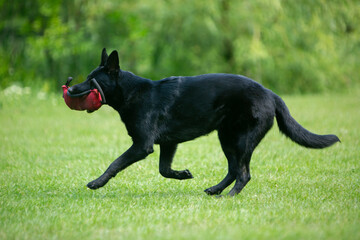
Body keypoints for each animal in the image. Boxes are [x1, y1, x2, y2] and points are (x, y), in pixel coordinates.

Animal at [68, 49, 340, 197]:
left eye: (92, 80)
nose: (70, 89)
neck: (132, 93)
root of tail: (271, 94)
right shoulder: (168, 143)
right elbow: (164, 169)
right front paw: (183, 174)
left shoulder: (142, 145)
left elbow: (115, 163)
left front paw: (96, 182)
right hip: (227, 138)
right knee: (234, 170)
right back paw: (215, 190)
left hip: (242, 140)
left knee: (244, 173)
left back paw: (227, 196)